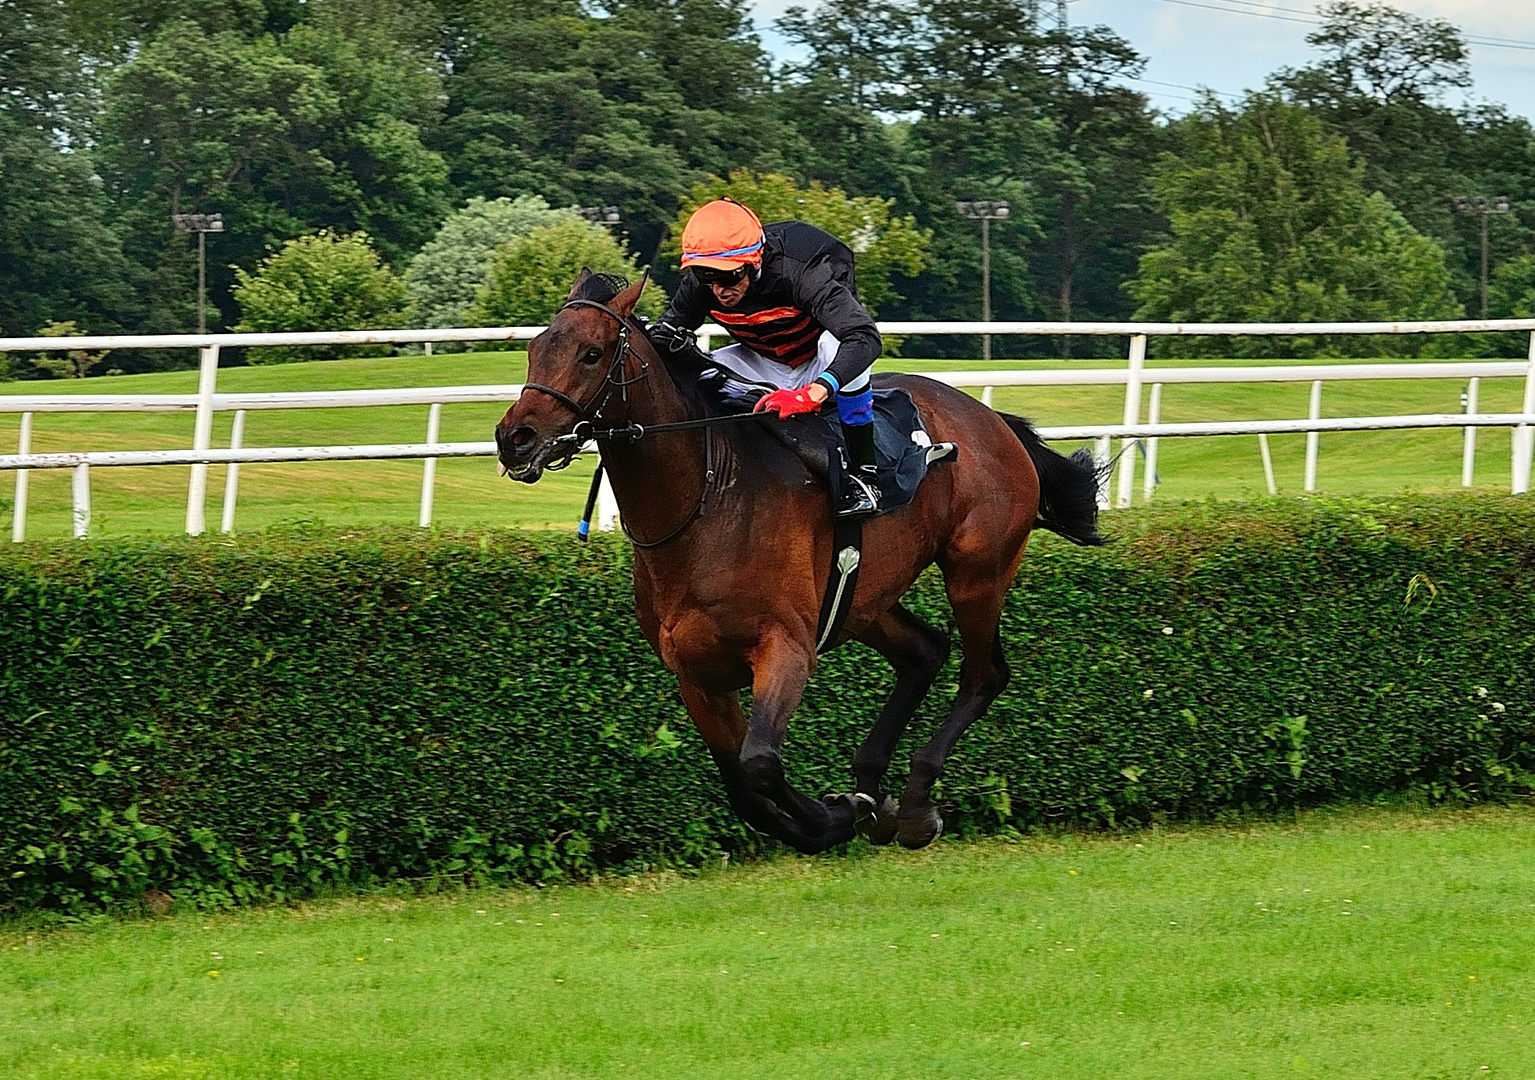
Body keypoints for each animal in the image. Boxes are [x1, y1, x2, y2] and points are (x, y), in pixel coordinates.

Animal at [494, 270, 1105, 852]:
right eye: (535, 347)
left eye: (591, 352)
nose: (513, 438)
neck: (706, 501)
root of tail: (995, 421)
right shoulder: (697, 674)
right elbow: (743, 791)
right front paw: (846, 811)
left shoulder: (785, 648)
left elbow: (760, 764)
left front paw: (838, 816)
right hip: (861, 598)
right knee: (925, 652)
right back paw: (873, 785)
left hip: (977, 572)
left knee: (984, 674)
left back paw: (912, 803)